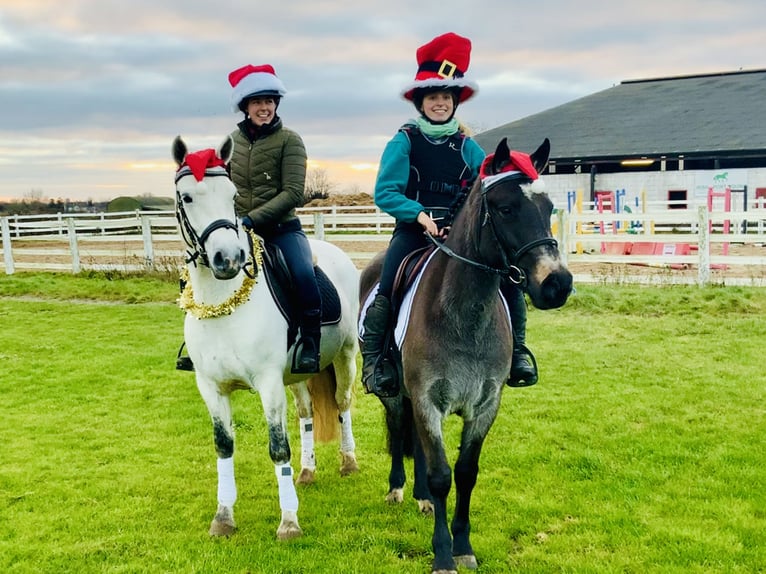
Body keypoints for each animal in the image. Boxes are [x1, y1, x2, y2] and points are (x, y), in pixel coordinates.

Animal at [171, 137, 360, 544]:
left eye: (232, 195)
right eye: (187, 197)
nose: (228, 258)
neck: (223, 305)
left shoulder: (269, 383)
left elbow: (277, 448)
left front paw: (289, 522)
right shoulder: (210, 387)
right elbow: (224, 446)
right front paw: (223, 517)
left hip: (346, 356)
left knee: (342, 403)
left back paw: (348, 462)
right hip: (299, 374)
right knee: (306, 412)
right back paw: (307, 471)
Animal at [358, 137, 568, 572]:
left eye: (547, 208)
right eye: (506, 208)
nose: (557, 284)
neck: (462, 315)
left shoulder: (485, 404)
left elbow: (466, 472)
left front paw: (464, 546)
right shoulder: (427, 400)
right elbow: (442, 476)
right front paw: (442, 554)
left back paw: (420, 498)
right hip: (396, 394)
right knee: (400, 429)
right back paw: (398, 489)